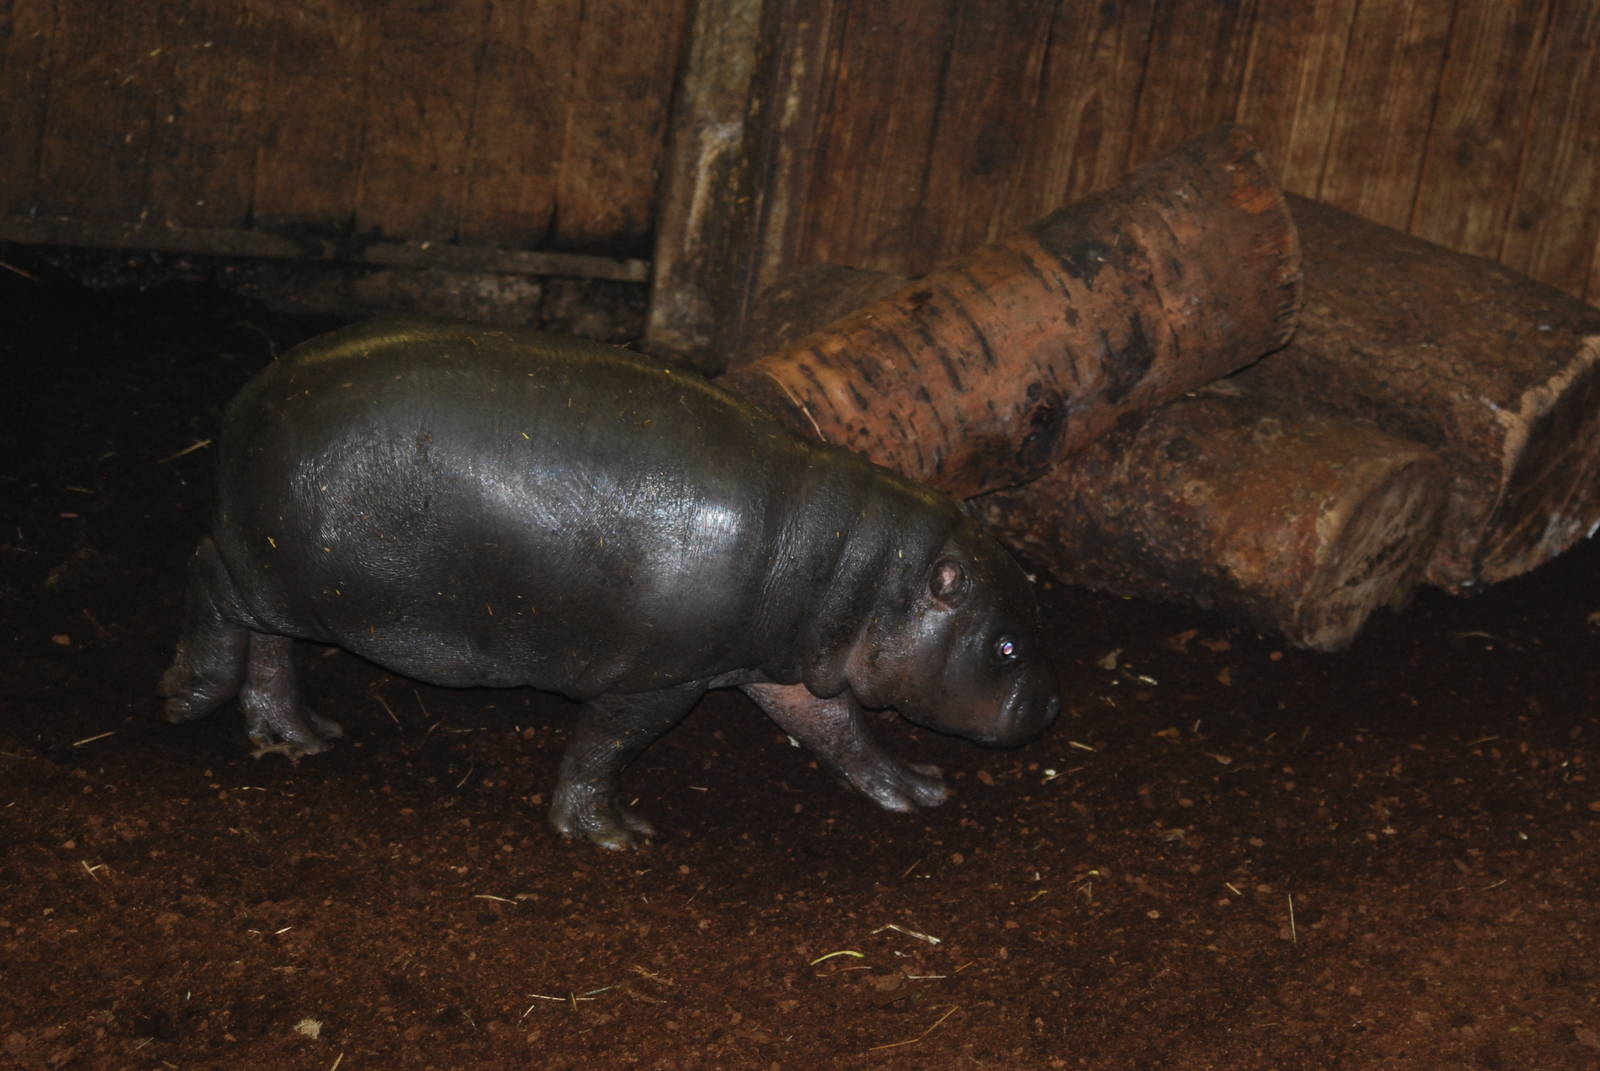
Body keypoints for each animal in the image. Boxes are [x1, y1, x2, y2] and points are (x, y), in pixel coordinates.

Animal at [161, 319, 1060, 848]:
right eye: (1008, 645)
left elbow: (840, 730)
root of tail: (246, 398)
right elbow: (606, 743)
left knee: (269, 643)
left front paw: (916, 789)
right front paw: (612, 833)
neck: (854, 566)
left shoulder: (792, 665)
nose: (1050, 707)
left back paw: (298, 735)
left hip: (299, 584)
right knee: (207, 575)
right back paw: (188, 692)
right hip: (280, 569)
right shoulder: (661, 677)